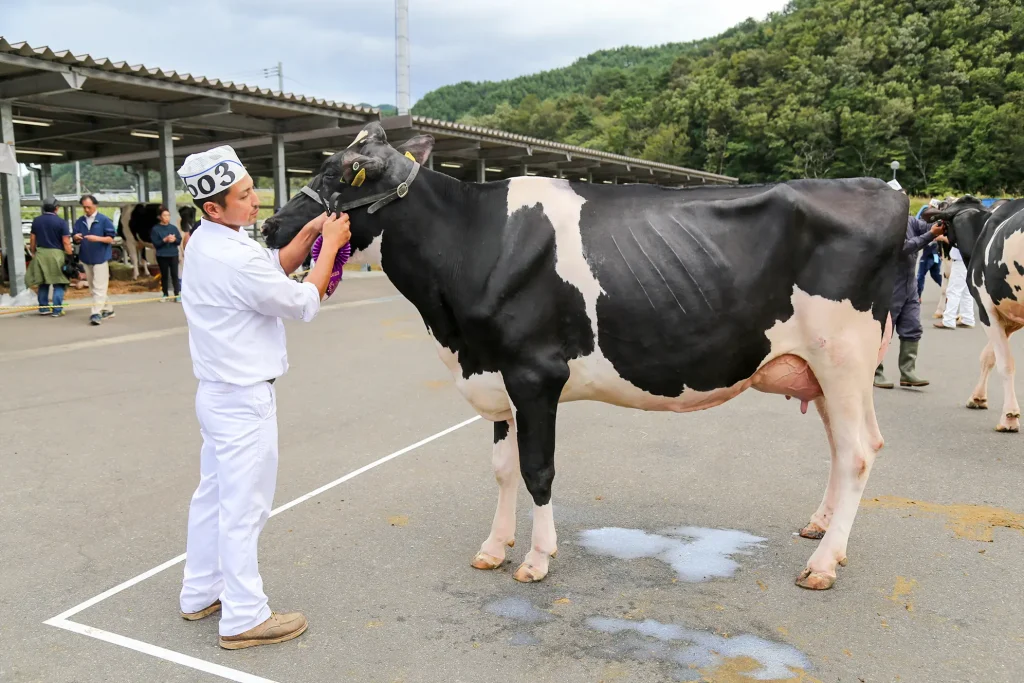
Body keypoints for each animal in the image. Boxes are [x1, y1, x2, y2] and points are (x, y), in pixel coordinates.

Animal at [262, 122, 905, 593]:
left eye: (339, 174)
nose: (269, 226)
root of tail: (883, 187)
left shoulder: (534, 374)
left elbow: (537, 470)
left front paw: (536, 559)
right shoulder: (495, 377)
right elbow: (502, 468)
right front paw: (493, 547)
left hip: (843, 356)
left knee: (857, 451)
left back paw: (823, 564)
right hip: (824, 371)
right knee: (844, 445)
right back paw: (820, 530)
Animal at [929, 197, 1024, 432]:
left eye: (944, 223)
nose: (938, 241)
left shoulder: (986, 308)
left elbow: (1005, 363)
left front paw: (1009, 416)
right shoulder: (1007, 314)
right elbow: (988, 357)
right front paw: (978, 397)